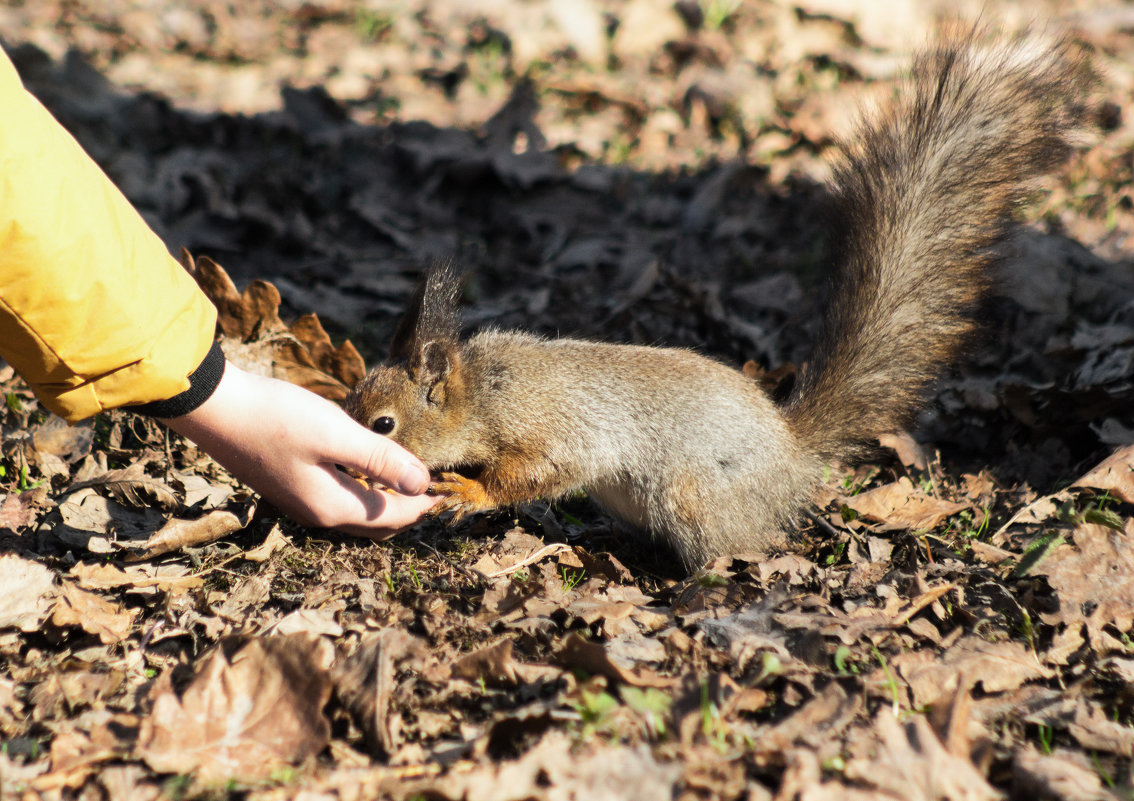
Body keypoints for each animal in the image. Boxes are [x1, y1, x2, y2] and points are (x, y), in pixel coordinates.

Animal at [342, 31, 1088, 567]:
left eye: (383, 422)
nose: (353, 460)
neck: (481, 389)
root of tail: (791, 456)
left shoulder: (546, 424)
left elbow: (545, 469)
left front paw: (470, 489)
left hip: (693, 495)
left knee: (731, 549)